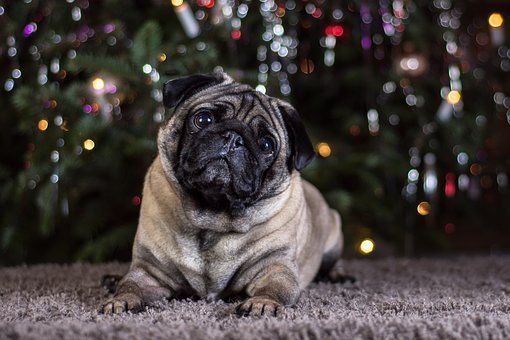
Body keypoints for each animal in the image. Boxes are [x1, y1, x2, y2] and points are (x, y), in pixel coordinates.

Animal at [101, 73, 344, 318]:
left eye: (266, 145)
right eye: (203, 120)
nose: (234, 138)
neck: (212, 215)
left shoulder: (275, 267)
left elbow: (276, 289)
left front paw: (262, 303)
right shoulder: (150, 272)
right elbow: (131, 285)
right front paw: (121, 300)